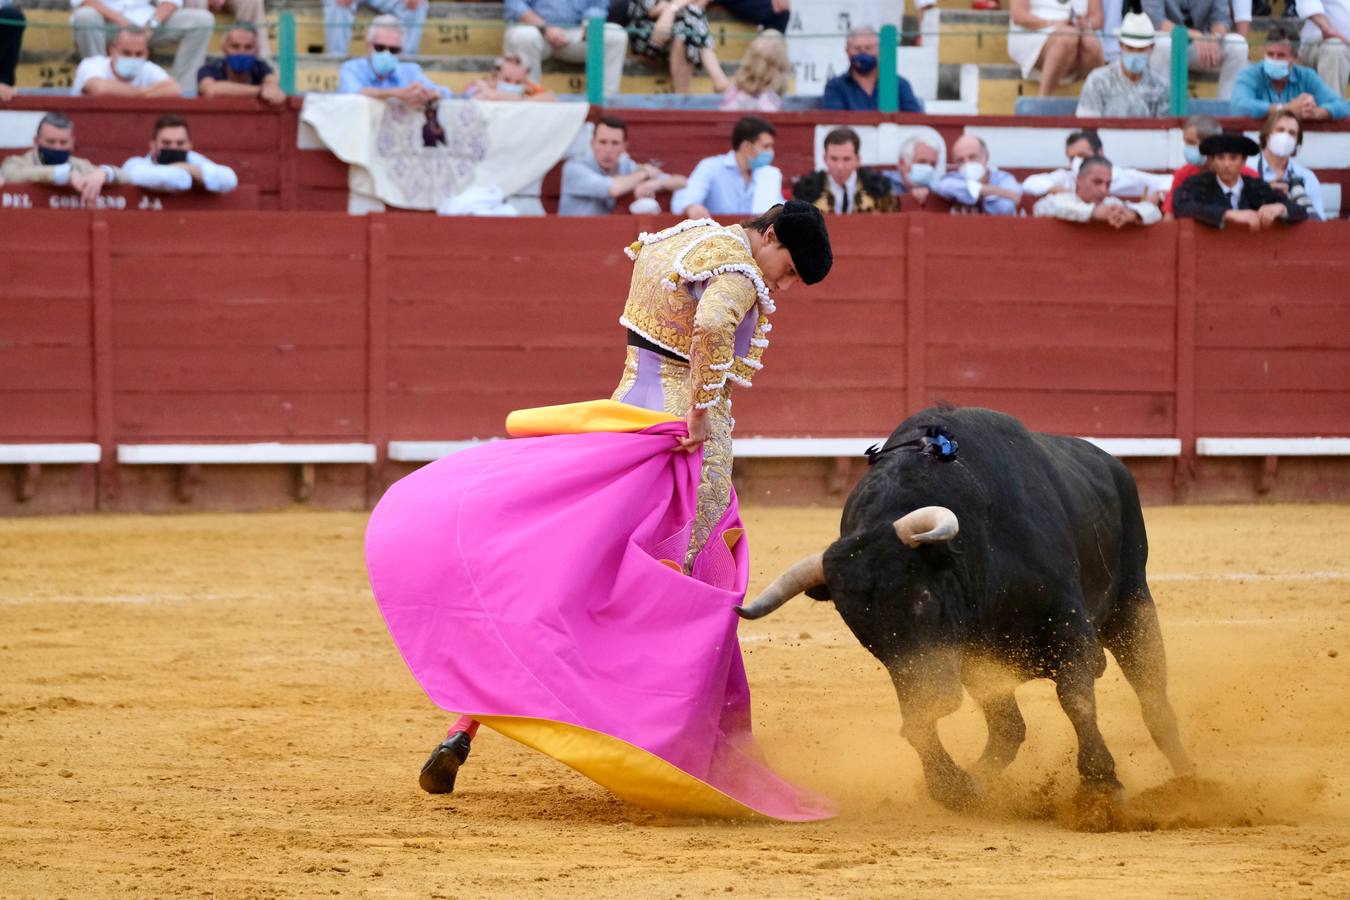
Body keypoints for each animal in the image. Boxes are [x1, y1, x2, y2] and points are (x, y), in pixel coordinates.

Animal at [739, 407, 1193, 809]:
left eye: (922, 599)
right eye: (862, 629)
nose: (932, 698)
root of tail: (1110, 463)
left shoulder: (1068, 628)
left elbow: (1076, 696)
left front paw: (1101, 786)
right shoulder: (955, 662)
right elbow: (919, 726)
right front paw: (953, 789)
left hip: (1132, 604)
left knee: (1155, 703)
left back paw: (1189, 780)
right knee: (1009, 727)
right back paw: (980, 777)